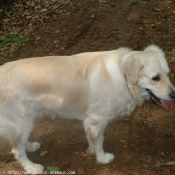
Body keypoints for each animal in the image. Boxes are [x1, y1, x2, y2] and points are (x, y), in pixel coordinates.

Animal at [0, 44, 174, 173]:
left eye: (167, 74)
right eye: (155, 78)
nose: (173, 94)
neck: (123, 75)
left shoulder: (91, 122)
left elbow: (92, 139)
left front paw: (91, 150)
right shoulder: (97, 119)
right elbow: (100, 141)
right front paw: (102, 158)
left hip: (25, 122)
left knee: (19, 144)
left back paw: (30, 146)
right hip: (21, 122)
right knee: (16, 150)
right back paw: (32, 167)